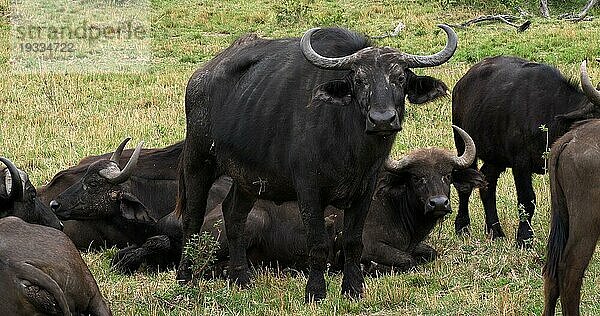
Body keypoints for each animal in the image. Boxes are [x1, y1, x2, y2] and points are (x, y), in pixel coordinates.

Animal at [176, 25, 458, 302]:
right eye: (359, 80)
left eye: (399, 78)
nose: (382, 120)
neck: (348, 144)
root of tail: (200, 77)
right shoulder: (308, 190)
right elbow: (317, 243)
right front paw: (315, 291)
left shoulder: (364, 190)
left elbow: (354, 241)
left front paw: (353, 289)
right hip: (198, 161)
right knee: (192, 218)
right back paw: (184, 279)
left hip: (248, 179)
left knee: (234, 215)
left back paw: (241, 278)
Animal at [452, 55, 600, 246]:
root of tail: (461, 85)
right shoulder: (520, 163)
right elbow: (527, 199)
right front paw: (524, 238)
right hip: (464, 145)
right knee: (465, 185)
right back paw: (462, 227)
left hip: (495, 158)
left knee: (487, 183)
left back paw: (495, 231)